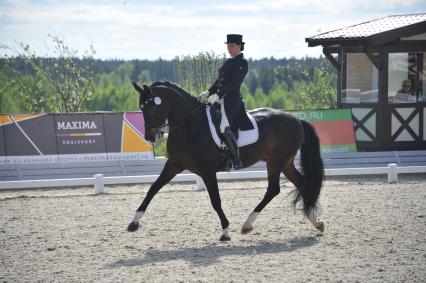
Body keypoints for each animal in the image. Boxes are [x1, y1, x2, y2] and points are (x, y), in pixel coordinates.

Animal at [128, 80, 324, 242]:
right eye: (141, 107)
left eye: (152, 107)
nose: (151, 136)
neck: (190, 125)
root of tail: (297, 120)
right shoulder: (174, 165)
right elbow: (152, 189)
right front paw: (134, 222)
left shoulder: (207, 171)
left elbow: (216, 201)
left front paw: (225, 232)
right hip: (285, 163)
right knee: (302, 184)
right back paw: (316, 222)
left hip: (277, 162)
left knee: (274, 189)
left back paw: (247, 224)